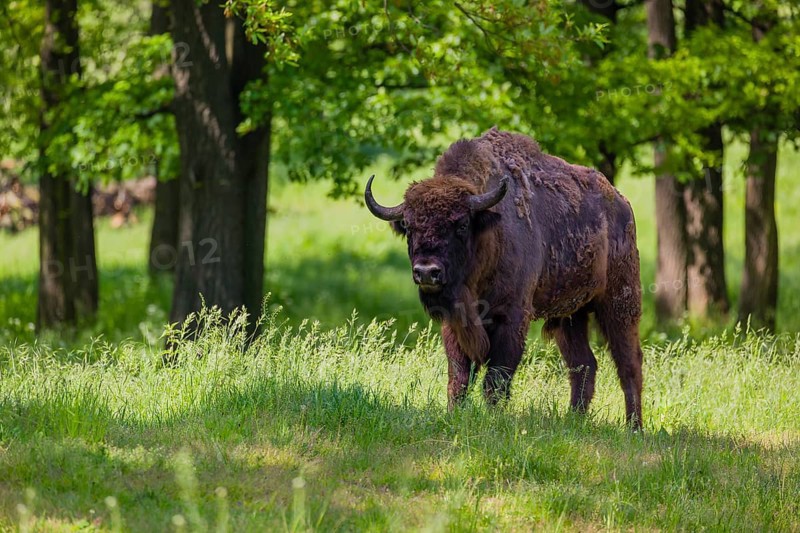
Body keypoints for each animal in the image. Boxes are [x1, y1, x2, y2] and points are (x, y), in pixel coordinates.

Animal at [365, 128, 644, 428]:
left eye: (461, 224)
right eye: (408, 226)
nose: (427, 271)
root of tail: (622, 204)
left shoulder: (512, 318)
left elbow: (496, 378)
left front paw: (493, 419)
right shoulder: (455, 323)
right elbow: (459, 376)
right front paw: (454, 414)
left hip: (619, 303)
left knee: (629, 364)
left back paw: (633, 428)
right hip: (571, 315)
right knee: (584, 364)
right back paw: (574, 420)